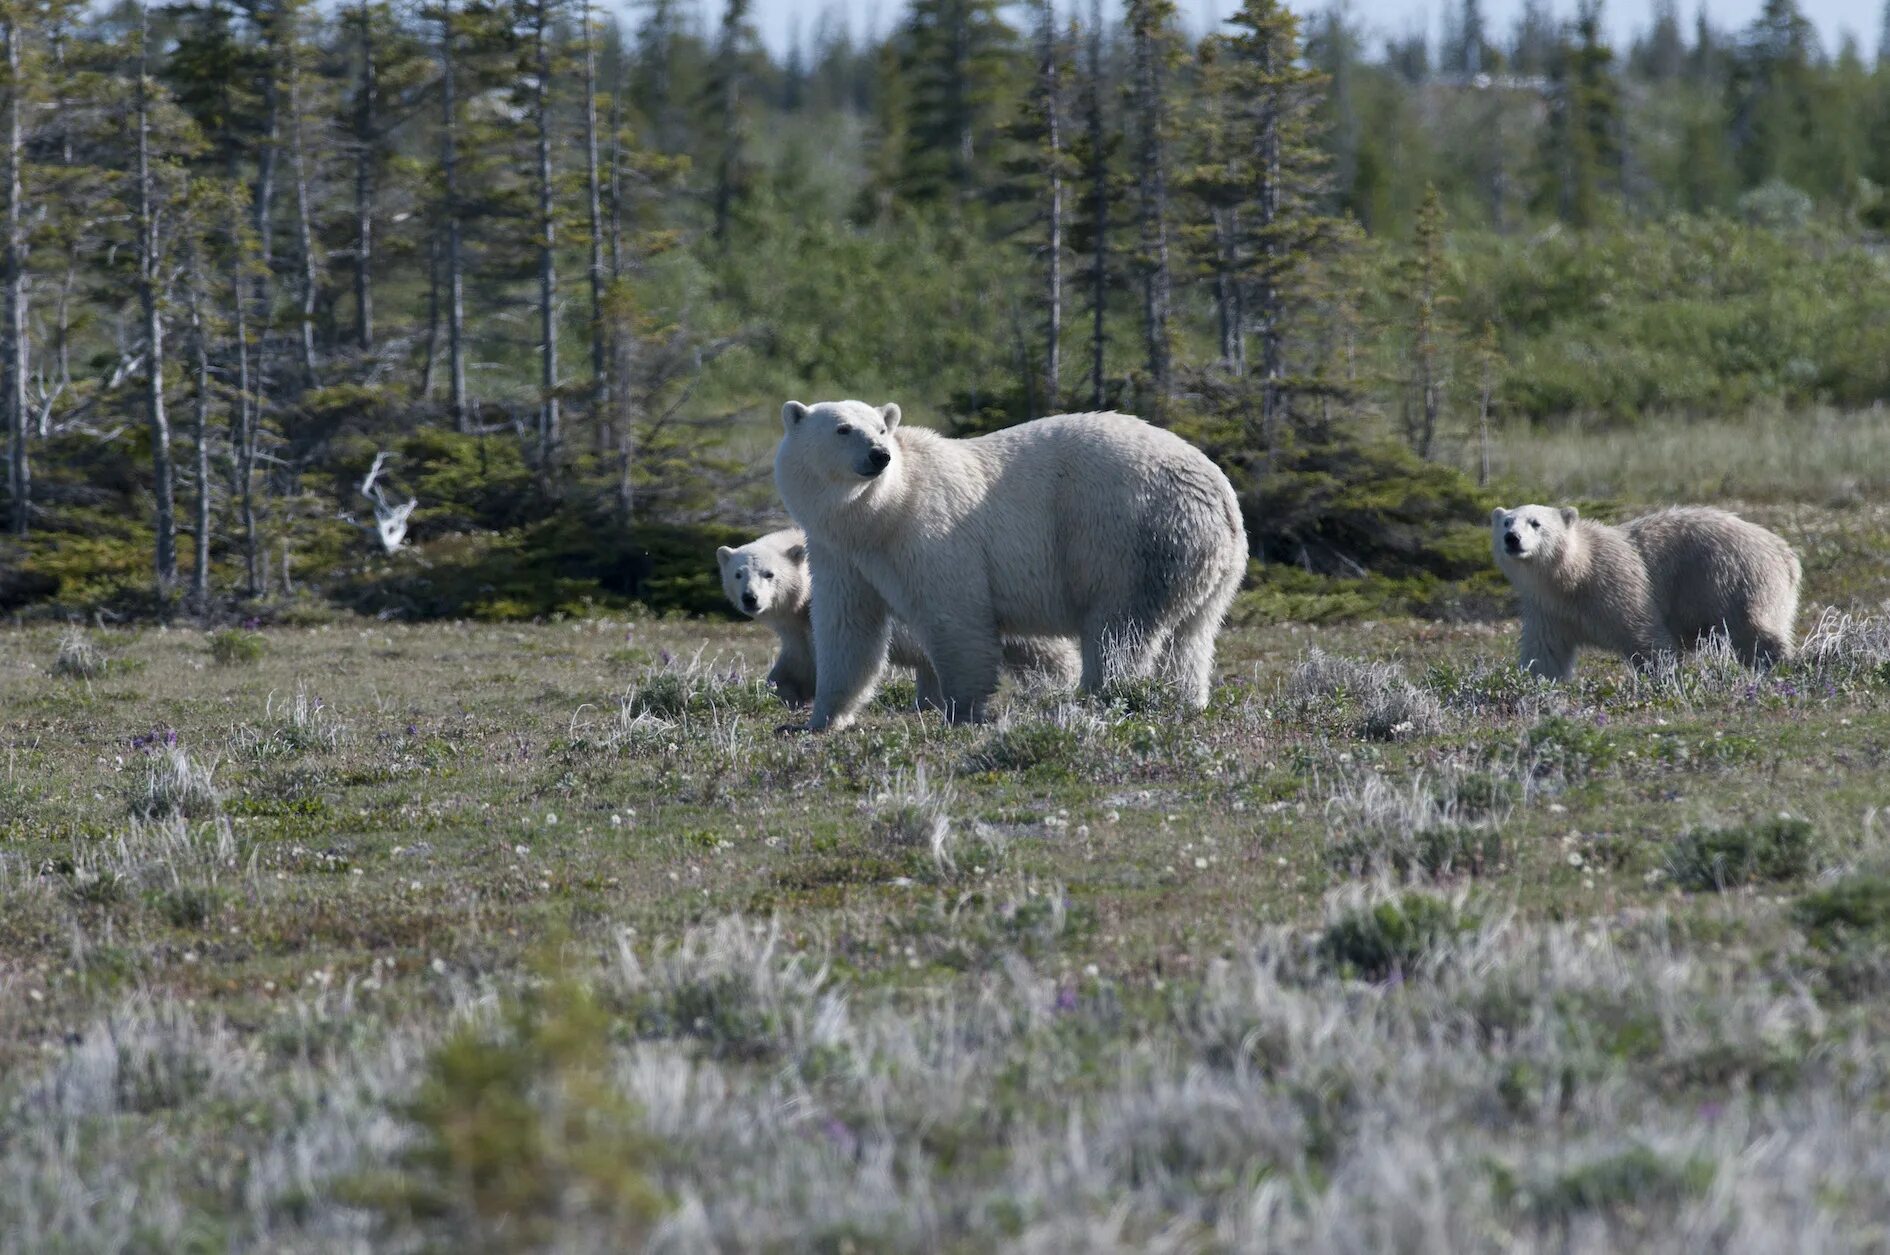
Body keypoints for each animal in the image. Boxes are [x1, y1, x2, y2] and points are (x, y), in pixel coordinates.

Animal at [774, 402, 1247, 729]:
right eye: (843, 428)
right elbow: (848, 631)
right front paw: (818, 720)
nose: (878, 454)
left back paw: (1095, 699)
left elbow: (956, 617)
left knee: (1119, 631)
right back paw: (1183, 701)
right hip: (1203, 561)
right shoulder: (840, 555)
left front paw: (961, 711)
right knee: (1190, 637)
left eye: (880, 428)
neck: (878, 517)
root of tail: (1219, 492)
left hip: (1129, 537)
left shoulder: (932, 533)